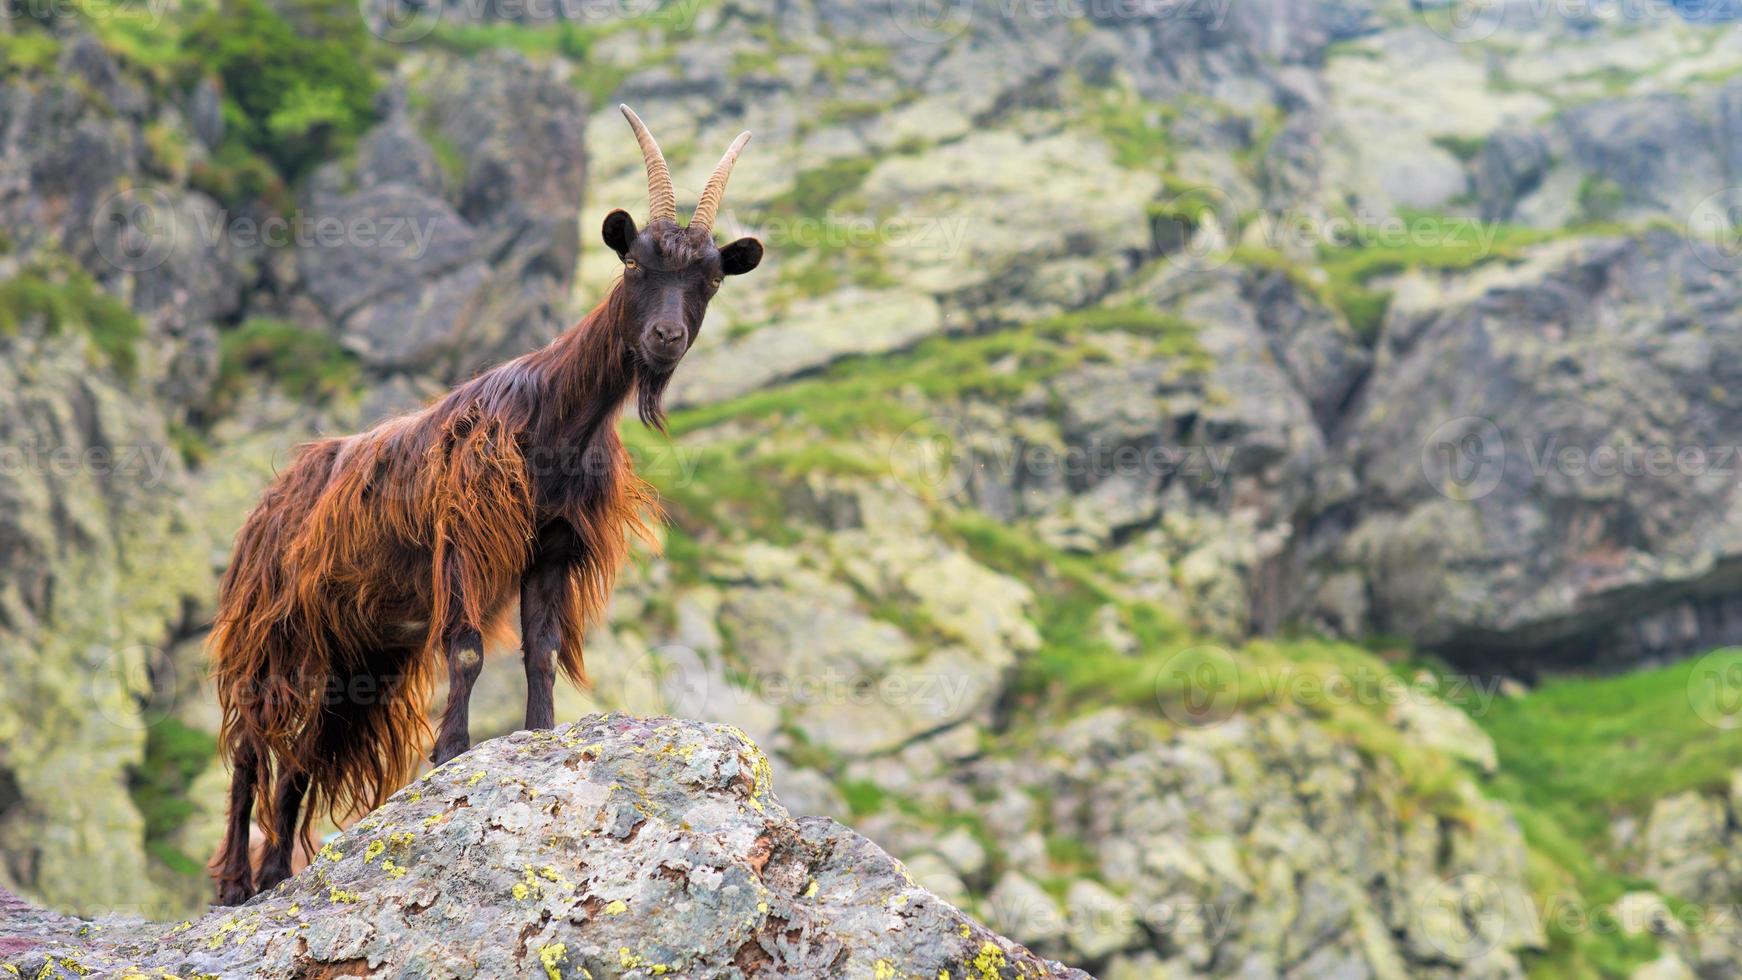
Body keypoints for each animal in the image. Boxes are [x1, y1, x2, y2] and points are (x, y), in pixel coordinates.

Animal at [205, 105, 762, 905]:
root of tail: (270, 502)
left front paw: (538, 736)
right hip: (270, 633)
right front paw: (450, 752)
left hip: (354, 654)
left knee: (302, 760)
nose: (665, 336)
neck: (557, 416)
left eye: (711, 278)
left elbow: (542, 651)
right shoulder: (465, 537)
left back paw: (278, 875)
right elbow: (467, 650)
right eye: (633, 265)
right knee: (252, 750)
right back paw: (232, 886)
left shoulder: (551, 547)